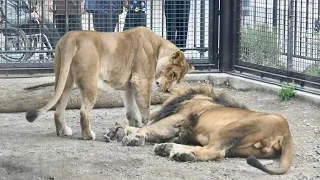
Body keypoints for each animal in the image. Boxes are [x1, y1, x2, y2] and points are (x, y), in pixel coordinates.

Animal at [25, 26, 194, 140]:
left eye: (178, 78)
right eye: (173, 74)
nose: (168, 90)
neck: (158, 47)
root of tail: (72, 37)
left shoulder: (130, 87)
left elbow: (131, 111)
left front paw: (133, 127)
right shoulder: (141, 81)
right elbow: (145, 108)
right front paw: (147, 125)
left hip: (64, 81)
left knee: (58, 110)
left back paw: (64, 132)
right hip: (90, 83)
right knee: (83, 112)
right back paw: (88, 135)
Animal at [105, 85, 296, 175]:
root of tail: (286, 133)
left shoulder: (177, 119)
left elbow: (149, 127)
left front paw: (133, 137)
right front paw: (117, 130)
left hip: (231, 128)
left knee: (215, 151)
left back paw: (179, 152)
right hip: (241, 149)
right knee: (215, 151)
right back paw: (168, 148)